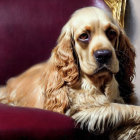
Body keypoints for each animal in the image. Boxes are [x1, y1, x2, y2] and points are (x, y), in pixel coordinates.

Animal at [0, 6, 140, 140]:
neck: (99, 82)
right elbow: (125, 108)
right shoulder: (83, 109)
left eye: (111, 32)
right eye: (83, 36)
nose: (104, 55)